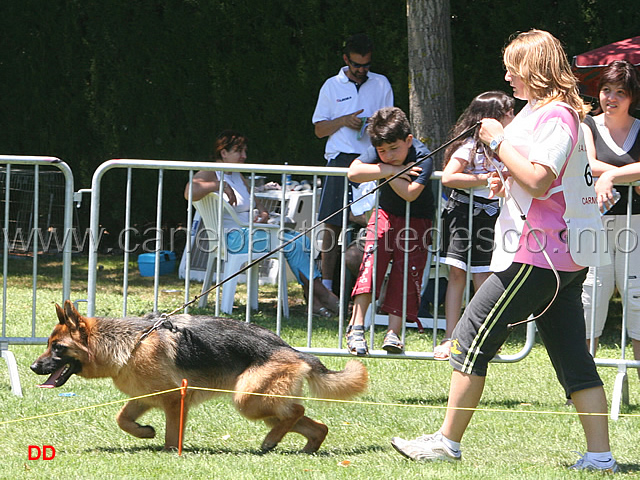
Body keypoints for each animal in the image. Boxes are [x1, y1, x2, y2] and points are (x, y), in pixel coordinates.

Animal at [31, 302, 370, 452]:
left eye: (57, 348)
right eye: (48, 345)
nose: (34, 367)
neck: (131, 343)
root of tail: (294, 351)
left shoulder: (173, 400)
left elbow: (171, 435)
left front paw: (170, 452)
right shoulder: (143, 397)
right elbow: (122, 419)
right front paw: (145, 432)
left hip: (248, 399)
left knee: (296, 411)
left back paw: (272, 441)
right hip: (265, 404)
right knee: (314, 423)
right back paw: (305, 446)